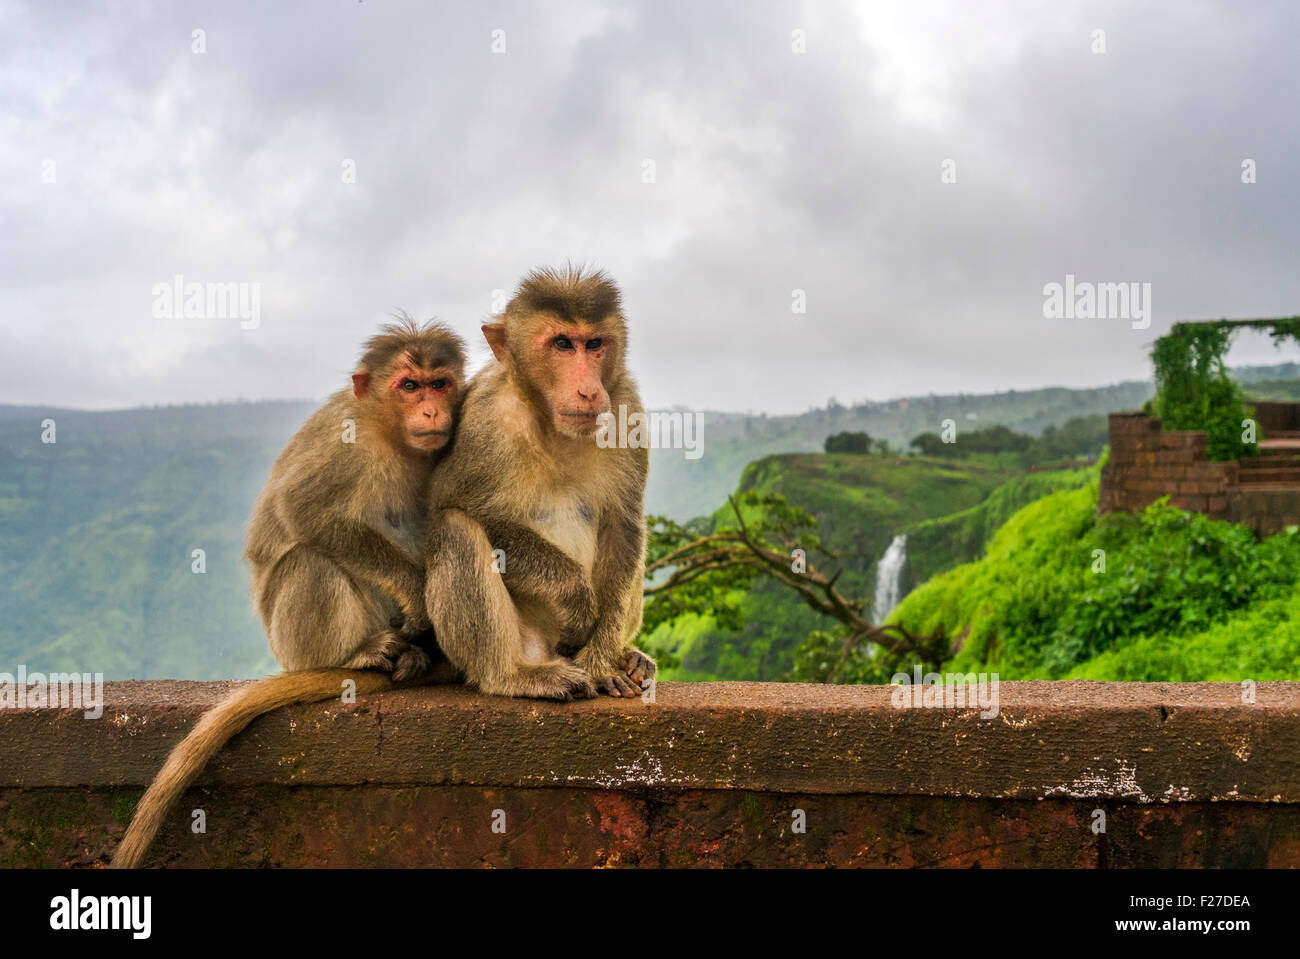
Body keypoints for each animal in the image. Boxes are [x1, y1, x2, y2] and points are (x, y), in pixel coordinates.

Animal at [110, 315, 467, 868]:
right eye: (409, 386)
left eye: (440, 384)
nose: (431, 409)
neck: (390, 435)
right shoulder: (345, 445)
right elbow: (303, 510)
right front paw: (414, 588)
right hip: (292, 643)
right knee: (309, 559)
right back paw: (357, 654)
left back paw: (416, 654)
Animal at [421, 265, 655, 696]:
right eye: (562, 343)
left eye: (594, 344)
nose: (589, 389)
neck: (551, 424)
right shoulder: (484, 419)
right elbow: (454, 506)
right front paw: (575, 596)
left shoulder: (626, 407)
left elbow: (623, 525)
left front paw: (602, 663)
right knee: (454, 527)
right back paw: (510, 674)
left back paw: (628, 657)